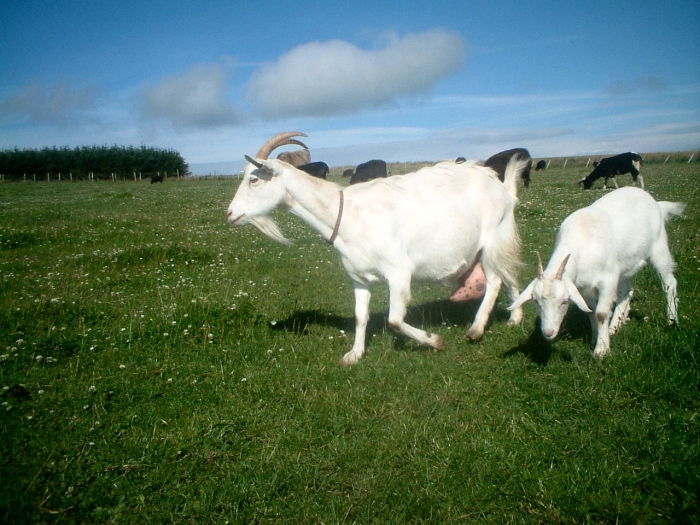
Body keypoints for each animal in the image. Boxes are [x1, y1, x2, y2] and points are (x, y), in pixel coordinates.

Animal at [230, 131, 532, 364]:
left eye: (253, 179)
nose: (230, 213)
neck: (347, 214)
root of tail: (503, 187)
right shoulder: (358, 278)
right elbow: (360, 316)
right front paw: (354, 354)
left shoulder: (399, 273)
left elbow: (395, 319)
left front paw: (434, 341)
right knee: (508, 273)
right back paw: (514, 317)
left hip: (494, 237)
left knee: (496, 279)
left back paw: (477, 329)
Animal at [508, 185, 684, 356]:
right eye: (536, 301)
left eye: (564, 301)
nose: (548, 332)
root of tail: (656, 203)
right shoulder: (583, 286)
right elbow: (590, 311)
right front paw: (595, 338)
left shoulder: (608, 279)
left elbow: (600, 314)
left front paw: (601, 350)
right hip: (623, 267)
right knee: (626, 291)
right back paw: (615, 326)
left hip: (658, 247)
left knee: (669, 283)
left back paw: (671, 320)